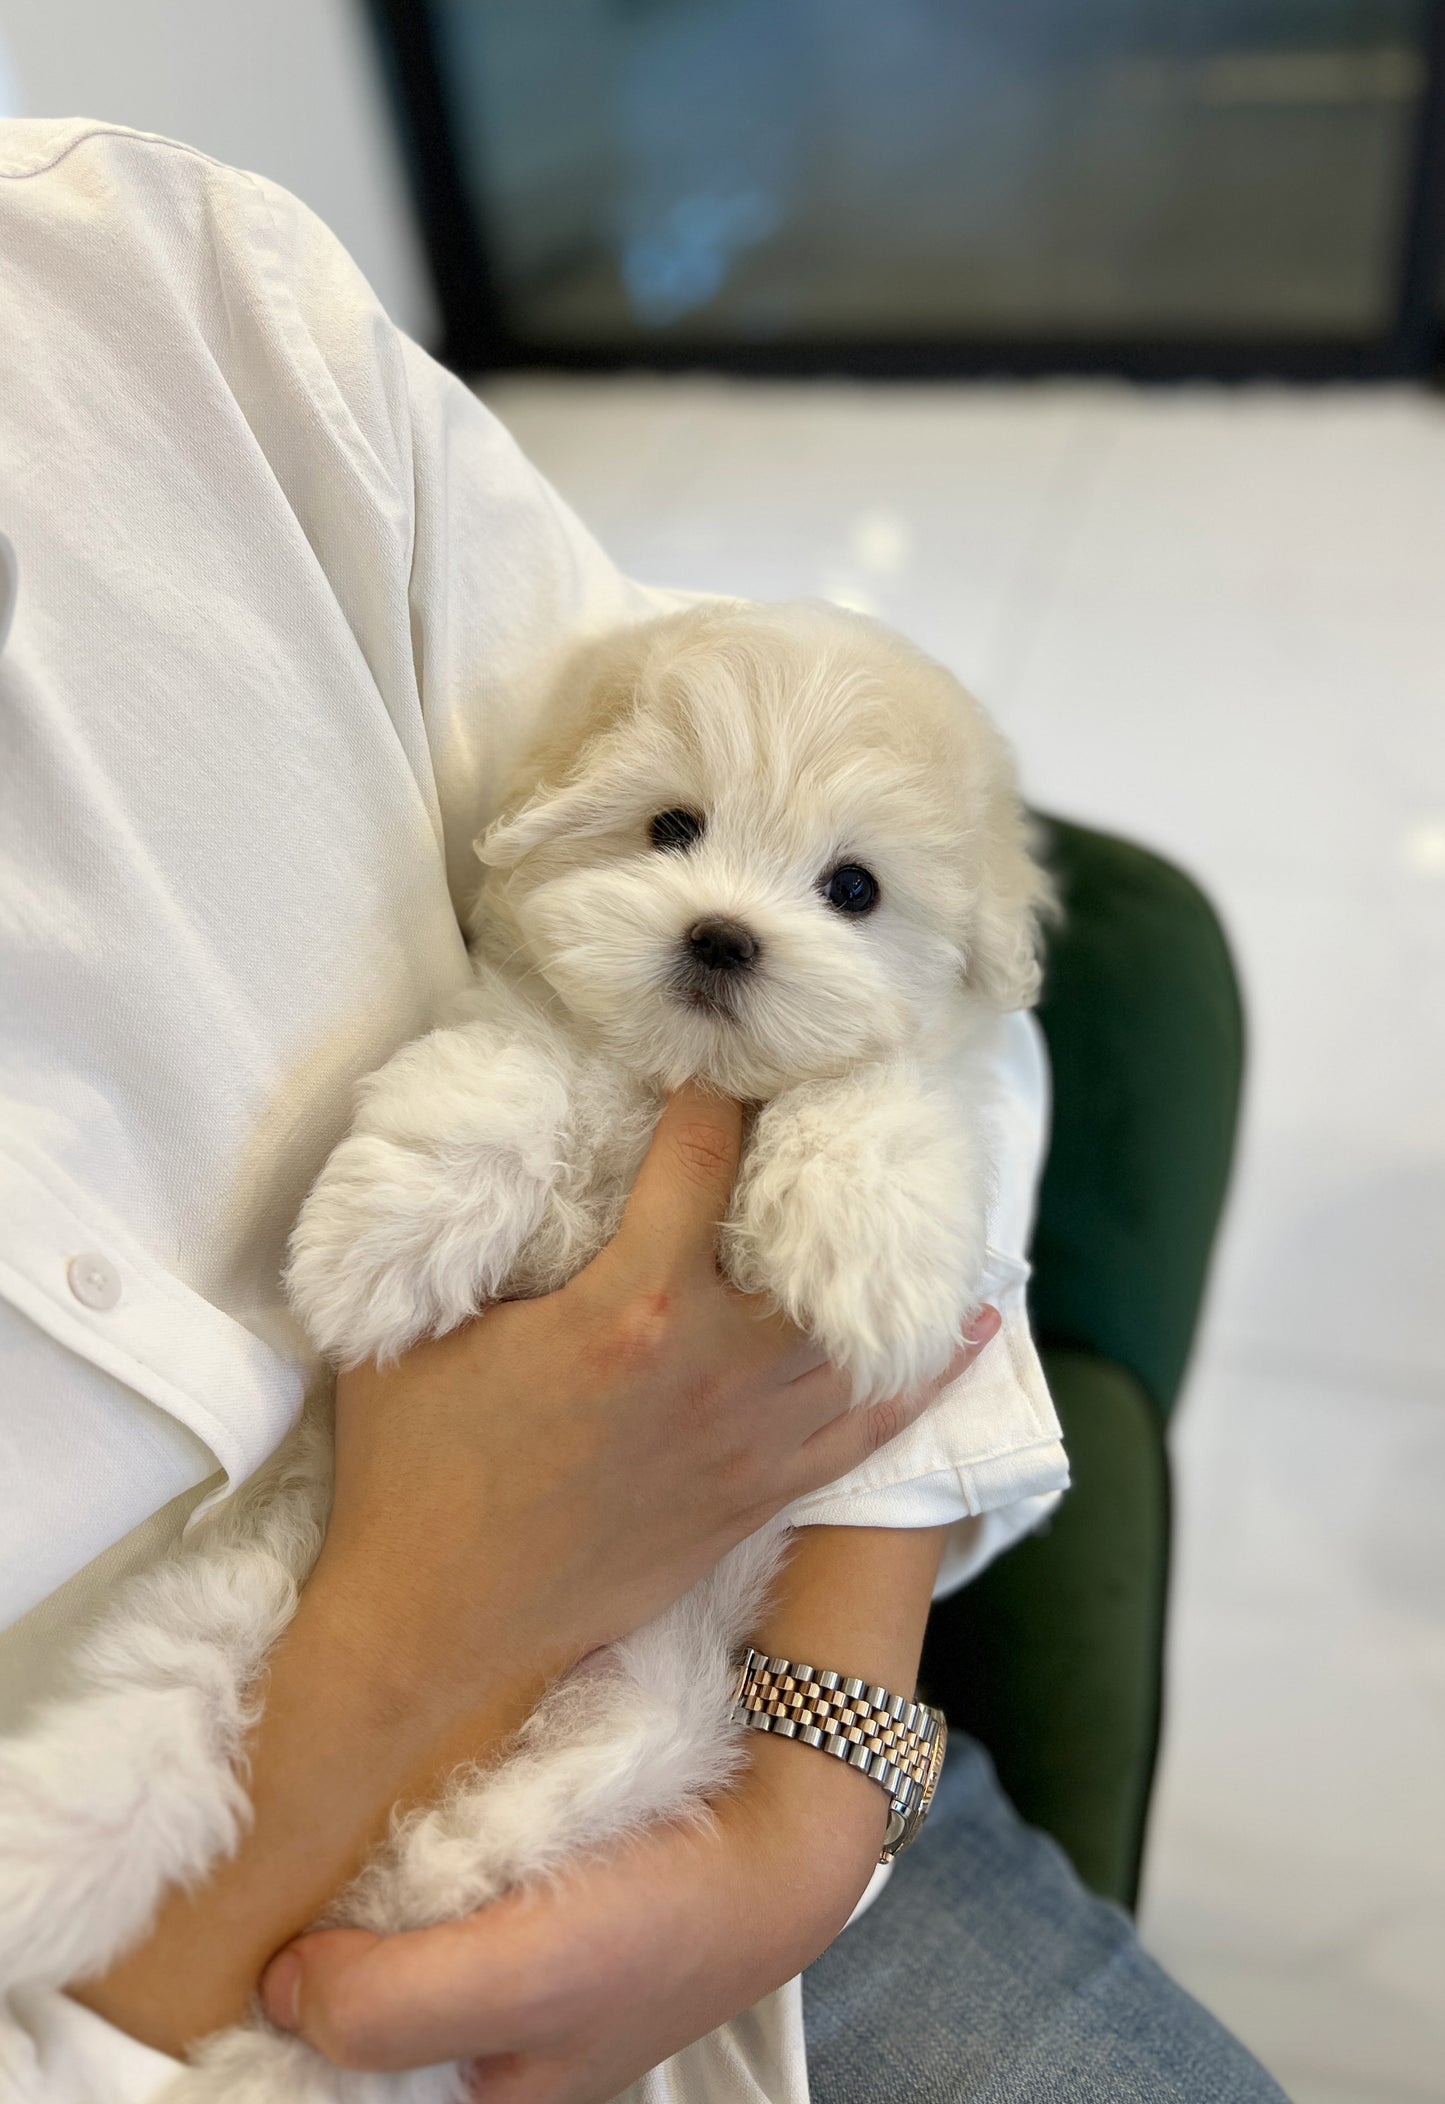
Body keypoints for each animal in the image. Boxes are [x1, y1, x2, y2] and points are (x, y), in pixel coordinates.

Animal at [0, 601, 1047, 2095]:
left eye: (854, 888)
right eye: (670, 827)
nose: (722, 936)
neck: (675, 1080)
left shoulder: (919, 1081)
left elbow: (878, 1087)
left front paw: (859, 1239)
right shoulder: (520, 1028)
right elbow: (498, 1082)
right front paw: (378, 1240)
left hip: (637, 1734)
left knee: (427, 1883)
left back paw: (378, 1907)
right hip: (261, 1580)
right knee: (162, 1705)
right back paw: (48, 1854)